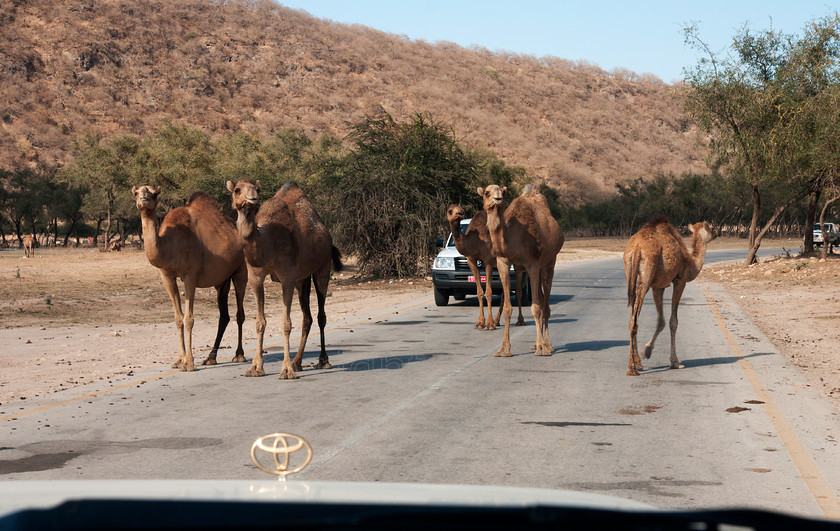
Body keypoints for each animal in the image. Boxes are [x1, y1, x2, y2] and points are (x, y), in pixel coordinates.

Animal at [131, 187, 248, 374]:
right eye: (136, 192)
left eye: (154, 193)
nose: (144, 198)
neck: (171, 244)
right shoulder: (167, 276)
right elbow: (178, 318)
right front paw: (179, 360)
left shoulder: (190, 276)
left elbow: (189, 319)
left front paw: (189, 363)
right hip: (222, 279)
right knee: (224, 315)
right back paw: (211, 357)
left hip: (240, 270)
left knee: (240, 313)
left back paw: (239, 355)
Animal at [226, 181, 342, 380]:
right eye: (237, 190)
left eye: (257, 189)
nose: (252, 198)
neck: (268, 243)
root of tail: (326, 234)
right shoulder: (255, 277)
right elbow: (259, 322)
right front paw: (255, 367)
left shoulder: (287, 275)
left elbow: (286, 323)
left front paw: (286, 370)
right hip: (302, 279)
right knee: (307, 317)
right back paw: (298, 362)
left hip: (323, 267)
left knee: (321, 315)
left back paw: (322, 360)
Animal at [480, 184, 564, 358]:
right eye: (487, 193)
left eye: (502, 192)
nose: (498, 198)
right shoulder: (503, 262)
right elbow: (507, 308)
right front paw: (504, 349)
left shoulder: (533, 264)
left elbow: (536, 308)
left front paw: (541, 348)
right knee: (542, 299)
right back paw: (535, 343)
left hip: (549, 262)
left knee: (545, 304)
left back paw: (547, 345)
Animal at [624, 214, 716, 376]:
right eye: (711, 227)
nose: (717, 232)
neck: (691, 262)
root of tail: (636, 249)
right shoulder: (680, 280)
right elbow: (673, 321)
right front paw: (675, 362)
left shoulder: (658, 286)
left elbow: (660, 321)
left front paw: (646, 351)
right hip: (645, 277)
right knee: (634, 321)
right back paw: (632, 369)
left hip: (631, 278)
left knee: (631, 319)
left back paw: (637, 364)